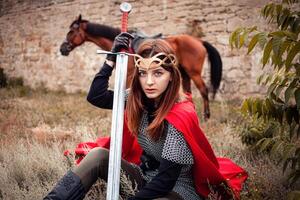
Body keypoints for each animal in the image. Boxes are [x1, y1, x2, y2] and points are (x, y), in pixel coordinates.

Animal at [60, 15, 223, 119]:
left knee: (204, 90)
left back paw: (206, 117)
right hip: (184, 73)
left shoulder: (129, 74)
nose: (62, 49)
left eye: (71, 31)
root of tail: (199, 41)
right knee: (188, 92)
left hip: (193, 72)